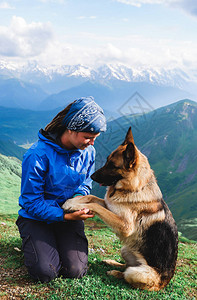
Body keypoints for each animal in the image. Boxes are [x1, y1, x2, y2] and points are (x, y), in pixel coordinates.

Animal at [63, 126, 179, 290]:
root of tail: (164, 283)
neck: (134, 188)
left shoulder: (125, 225)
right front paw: (74, 201)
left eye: (112, 165)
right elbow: (92, 198)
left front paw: (72, 204)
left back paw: (114, 273)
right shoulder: (109, 205)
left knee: (127, 274)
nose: (91, 176)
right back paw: (111, 262)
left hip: (137, 273)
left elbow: (93, 204)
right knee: (126, 265)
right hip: (125, 249)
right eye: (106, 161)